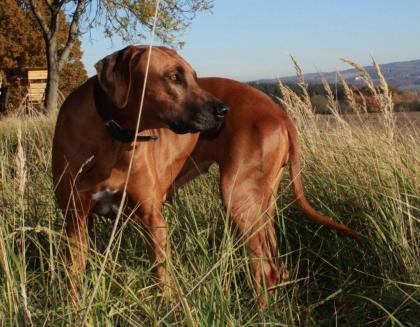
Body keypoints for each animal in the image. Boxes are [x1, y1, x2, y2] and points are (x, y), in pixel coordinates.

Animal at [51, 44, 360, 306]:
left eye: (195, 77)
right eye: (174, 77)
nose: (224, 111)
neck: (111, 135)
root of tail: (281, 113)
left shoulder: (153, 219)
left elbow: (162, 278)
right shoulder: (76, 221)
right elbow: (74, 277)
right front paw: (74, 310)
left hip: (238, 198)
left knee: (264, 268)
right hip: (261, 203)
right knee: (274, 264)